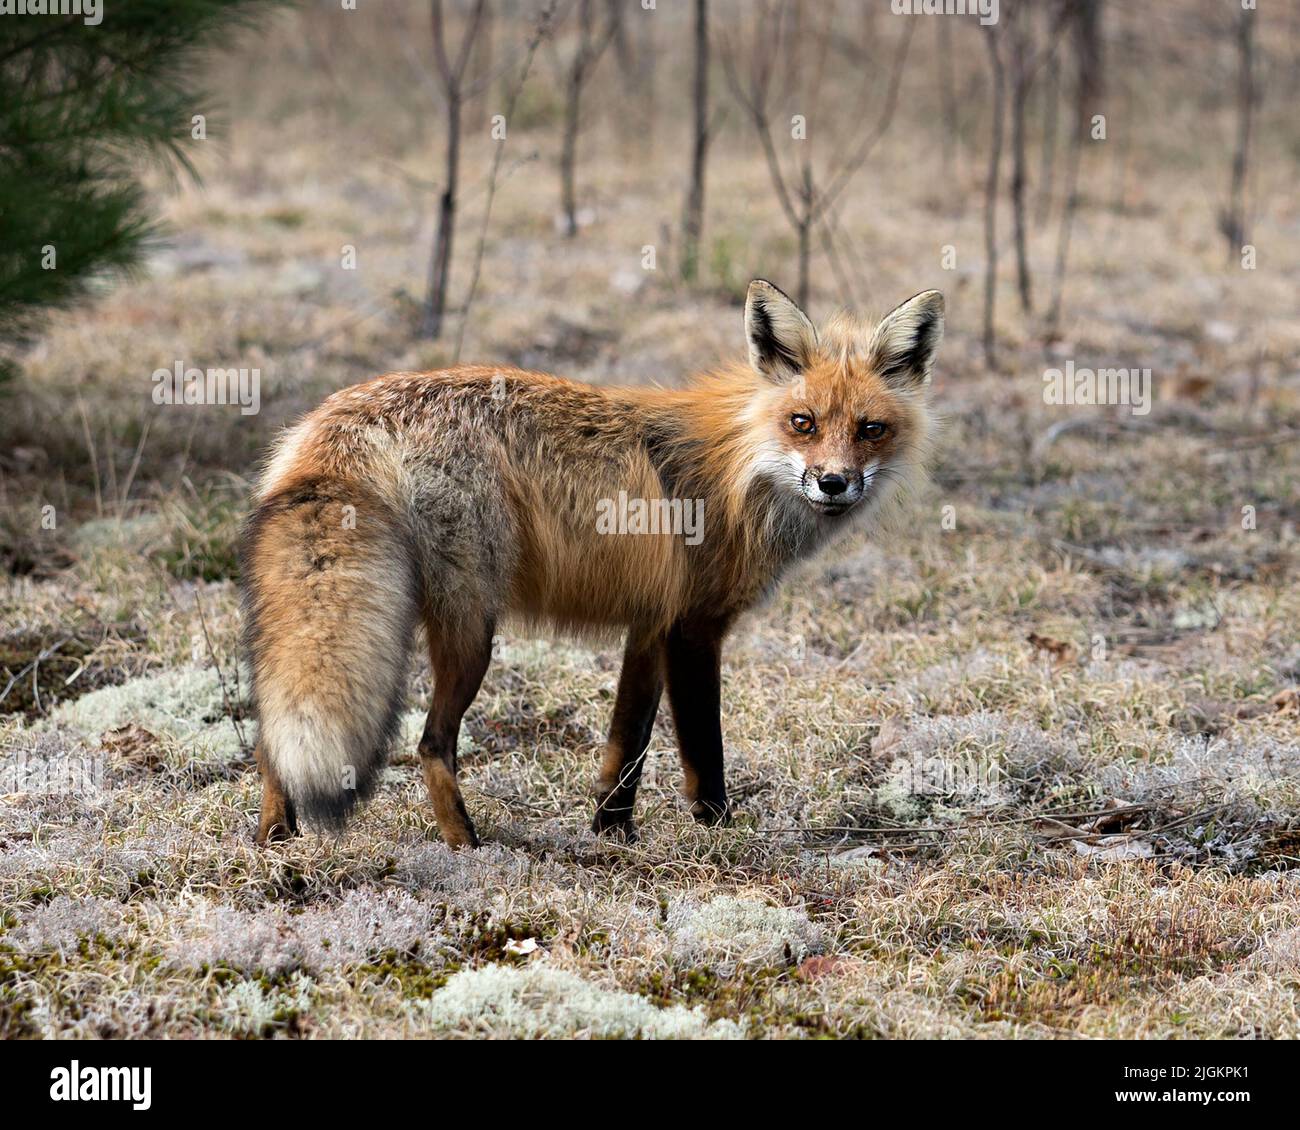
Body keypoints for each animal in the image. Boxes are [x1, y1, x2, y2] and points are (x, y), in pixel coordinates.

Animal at [244, 279, 941, 847]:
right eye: (803, 422)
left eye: (870, 429)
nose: (833, 483)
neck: (739, 468)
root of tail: (345, 417)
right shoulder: (694, 628)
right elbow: (703, 752)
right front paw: (721, 835)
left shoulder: (652, 624)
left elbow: (625, 742)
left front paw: (612, 832)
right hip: (473, 630)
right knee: (430, 744)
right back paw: (466, 844)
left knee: (272, 735)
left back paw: (278, 838)